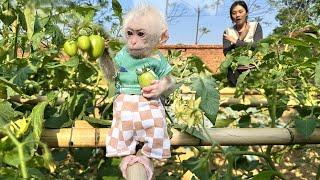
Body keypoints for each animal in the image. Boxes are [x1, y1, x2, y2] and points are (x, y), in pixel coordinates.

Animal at [99, 4, 175, 180]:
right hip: (120, 126)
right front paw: (104, 48)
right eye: (129, 33)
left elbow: (169, 82)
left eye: (140, 34)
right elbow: (113, 75)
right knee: (120, 139)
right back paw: (126, 158)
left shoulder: (161, 61)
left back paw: (146, 159)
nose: (132, 41)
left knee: (156, 136)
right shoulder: (121, 55)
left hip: (155, 123)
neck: (140, 58)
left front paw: (157, 88)